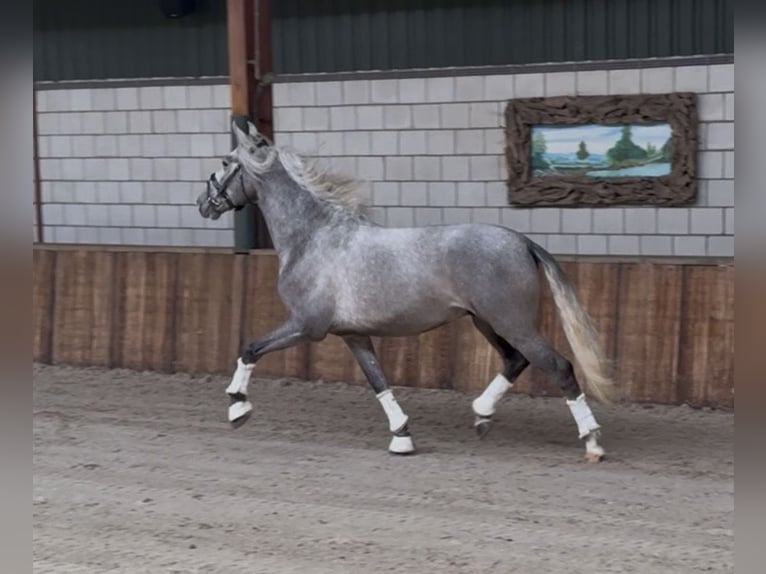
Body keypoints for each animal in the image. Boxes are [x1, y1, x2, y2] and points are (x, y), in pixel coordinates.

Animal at [196, 121, 617, 462]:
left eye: (226, 160)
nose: (203, 204)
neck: (314, 237)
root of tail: (521, 241)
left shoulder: (306, 325)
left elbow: (250, 348)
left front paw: (237, 407)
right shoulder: (352, 335)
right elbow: (378, 381)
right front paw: (402, 437)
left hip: (511, 322)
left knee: (558, 367)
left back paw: (593, 442)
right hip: (486, 321)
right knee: (516, 361)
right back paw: (481, 414)